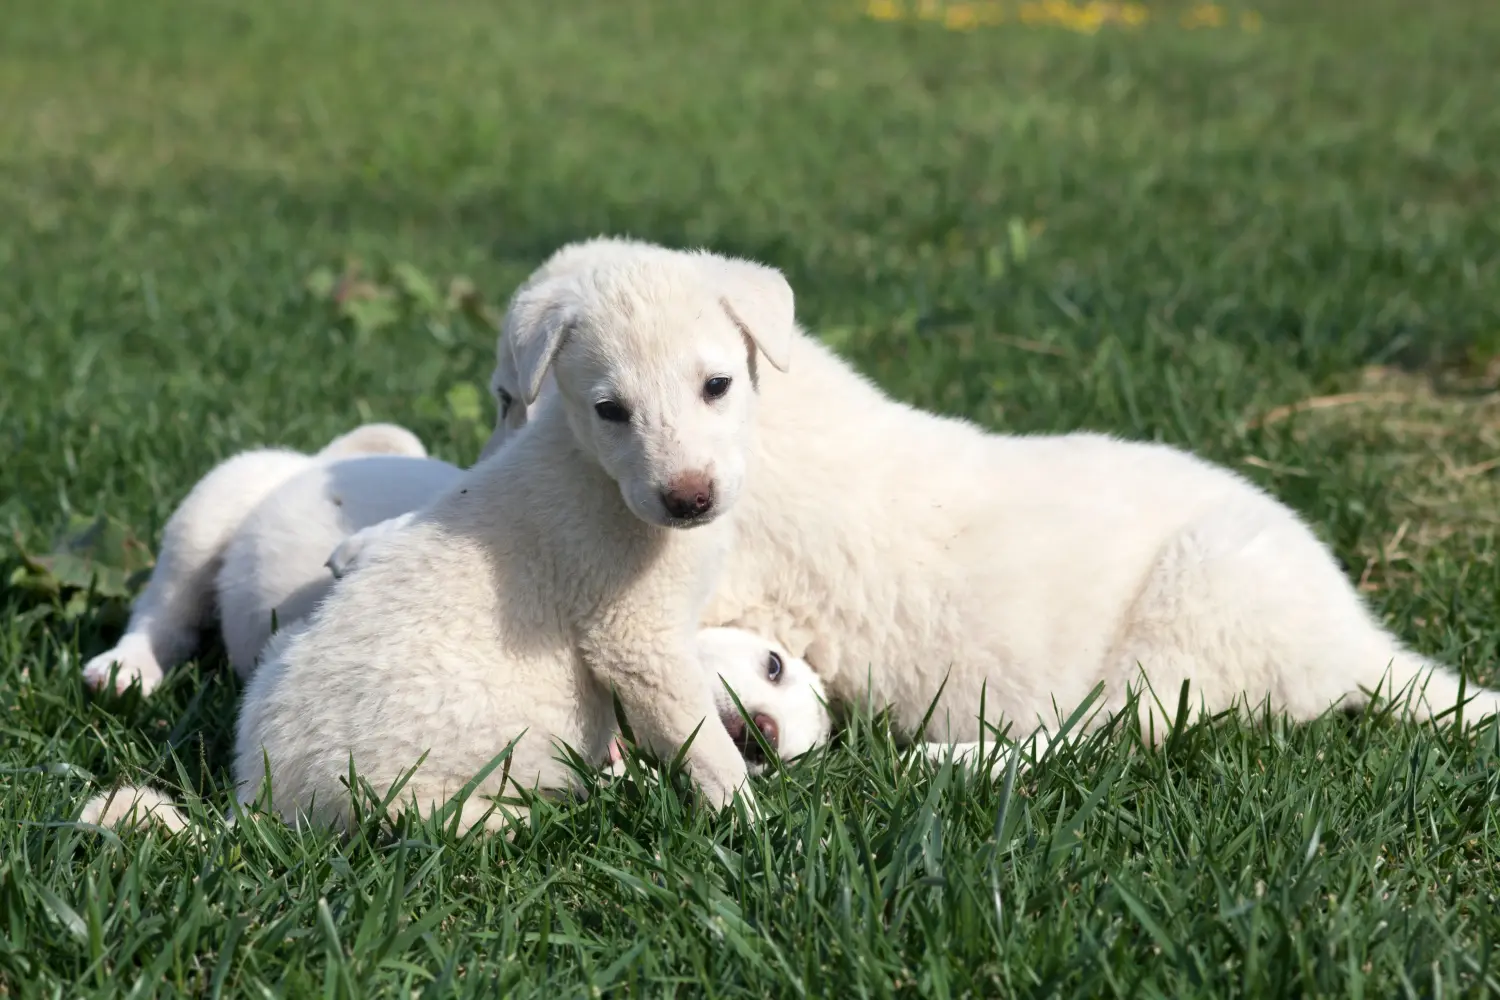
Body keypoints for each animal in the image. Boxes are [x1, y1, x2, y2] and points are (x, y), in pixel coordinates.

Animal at [231, 245, 798, 833]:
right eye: (610, 410)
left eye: (717, 385)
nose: (688, 499)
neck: (596, 468)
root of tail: (261, 797)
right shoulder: (636, 638)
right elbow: (706, 745)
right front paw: (754, 822)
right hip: (412, 776)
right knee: (429, 817)